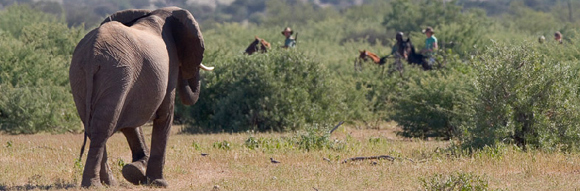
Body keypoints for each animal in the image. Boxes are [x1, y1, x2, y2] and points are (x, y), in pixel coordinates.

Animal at [68, 6, 213, 188]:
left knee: (94, 125)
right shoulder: (170, 63)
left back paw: (110, 183)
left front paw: (135, 172)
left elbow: (129, 121)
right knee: (103, 127)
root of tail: (92, 53)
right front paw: (159, 183)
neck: (156, 13)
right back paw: (94, 185)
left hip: (80, 76)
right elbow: (165, 115)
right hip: (117, 73)